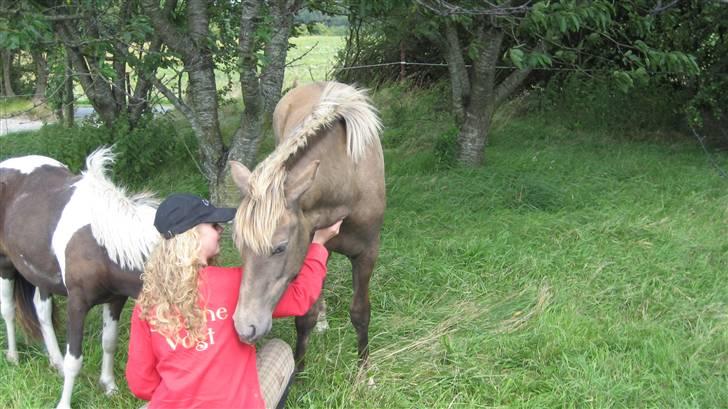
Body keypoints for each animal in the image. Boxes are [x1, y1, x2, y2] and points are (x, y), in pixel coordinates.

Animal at [0, 147, 159, 408]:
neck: (103, 246)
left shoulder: (115, 299)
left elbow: (109, 342)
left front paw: (109, 386)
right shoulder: (77, 304)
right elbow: (74, 359)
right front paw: (64, 403)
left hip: (42, 276)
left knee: (41, 312)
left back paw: (54, 362)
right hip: (5, 264)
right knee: (8, 309)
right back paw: (13, 356)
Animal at [230, 81, 386, 364]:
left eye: (280, 247)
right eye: (239, 246)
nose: (245, 328)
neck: (348, 181)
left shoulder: (367, 253)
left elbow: (360, 312)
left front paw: (364, 368)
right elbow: (305, 318)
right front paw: (299, 368)